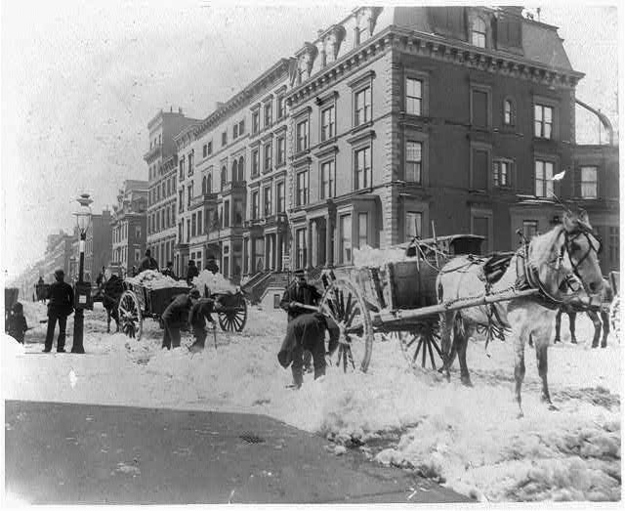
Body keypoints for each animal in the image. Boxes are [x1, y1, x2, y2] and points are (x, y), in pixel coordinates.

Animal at [436, 210, 604, 418]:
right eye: (576, 245)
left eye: (597, 246)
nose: (598, 285)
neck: (534, 281)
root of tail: (447, 266)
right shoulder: (520, 330)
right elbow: (520, 370)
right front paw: (517, 407)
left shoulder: (543, 329)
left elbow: (542, 367)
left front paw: (547, 401)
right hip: (447, 313)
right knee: (445, 342)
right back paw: (446, 377)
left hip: (469, 316)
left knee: (460, 344)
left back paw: (466, 380)